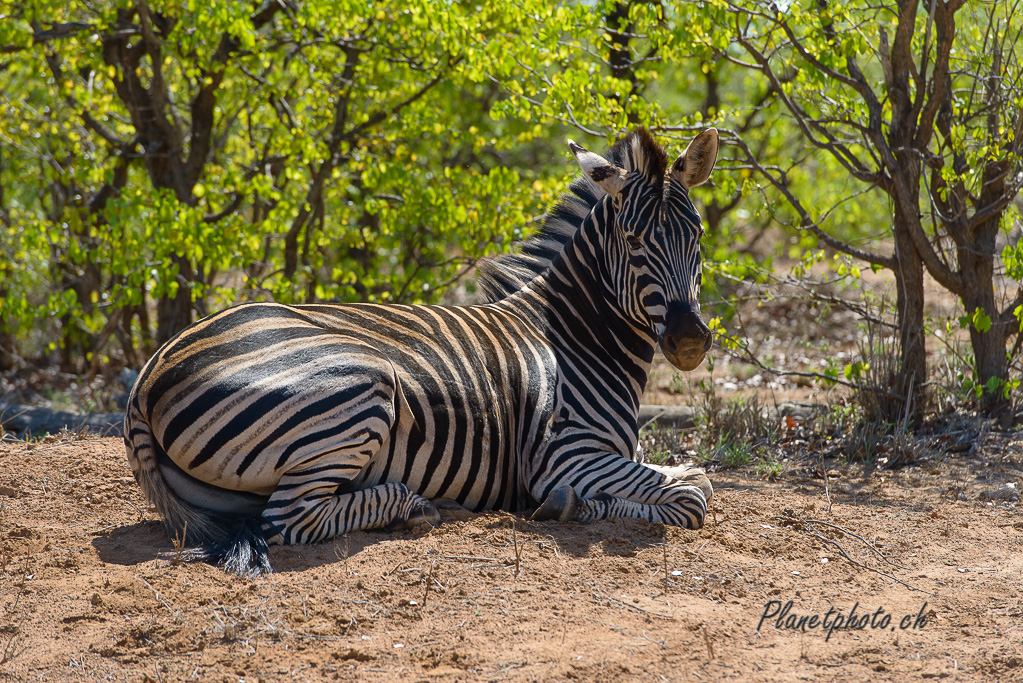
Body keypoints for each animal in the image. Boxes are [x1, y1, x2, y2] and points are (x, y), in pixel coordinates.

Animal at [125, 125, 720, 572]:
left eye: (698, 236)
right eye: (634, 241)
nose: (689, 340)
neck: (574, 336)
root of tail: (147, 375)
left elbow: (688, 479)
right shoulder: (562, 456)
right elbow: (693, 495)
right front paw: (573, 505)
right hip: (360, 385)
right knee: (289, 519)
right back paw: (411, 505)